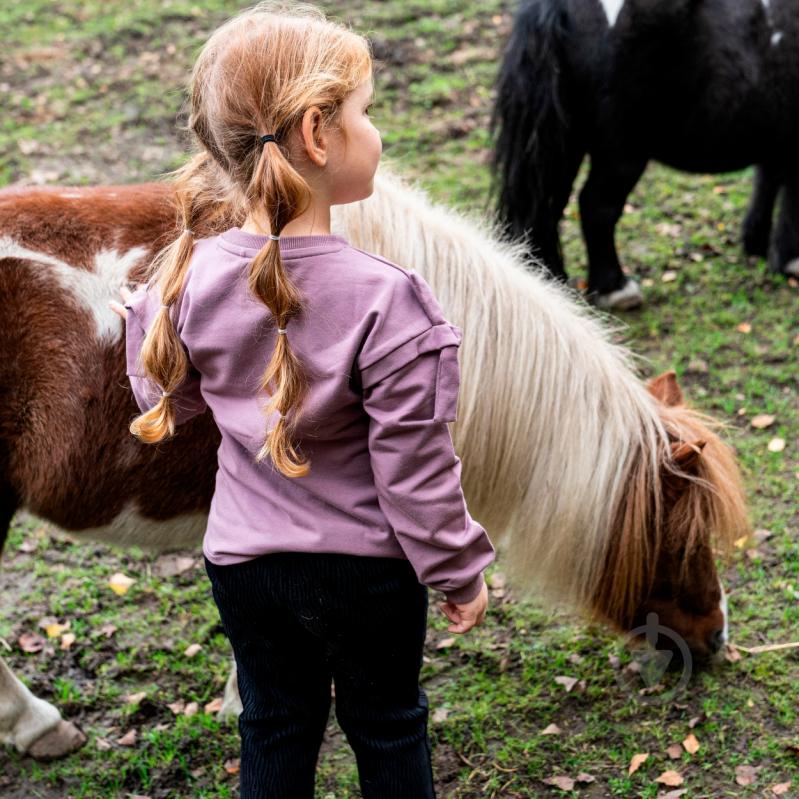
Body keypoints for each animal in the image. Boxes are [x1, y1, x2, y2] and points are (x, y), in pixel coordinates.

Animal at [488, 0, 799, 310]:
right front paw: (788, 259)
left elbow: (769, 180)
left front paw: (757, 241)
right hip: (622, 151)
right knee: (596, 206)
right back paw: (615, 288)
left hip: (562, 138)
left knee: (545, 208)